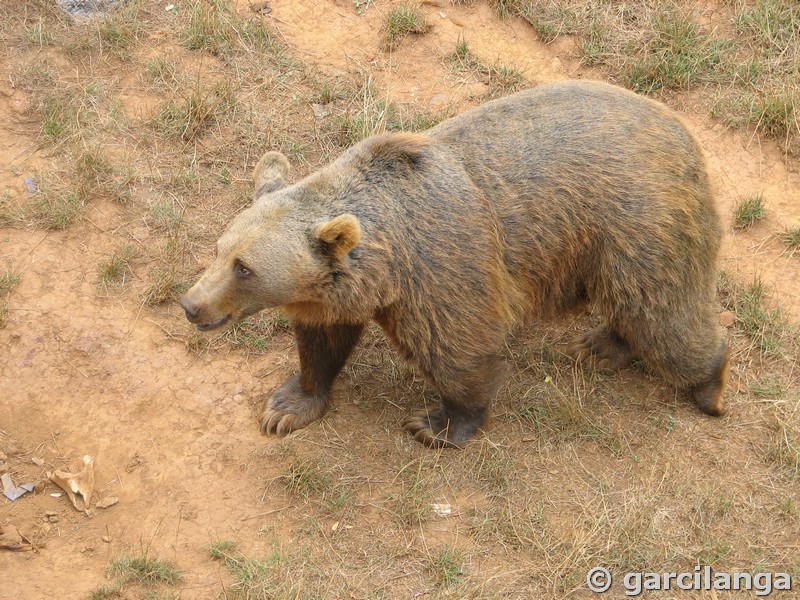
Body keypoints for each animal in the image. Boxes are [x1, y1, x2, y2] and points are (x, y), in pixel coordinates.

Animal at [181, 78, 732, 446]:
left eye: (245, 268)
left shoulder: (442, 269)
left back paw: (708, 386)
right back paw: (600, 346)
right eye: (220, 249)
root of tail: (683, 132)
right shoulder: (337, 290)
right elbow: (323, 340)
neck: (387, 263)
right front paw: (287, 406)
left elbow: (461, 351)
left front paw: (435, 423)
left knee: (662, 312)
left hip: (637, 223)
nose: (191, 305)